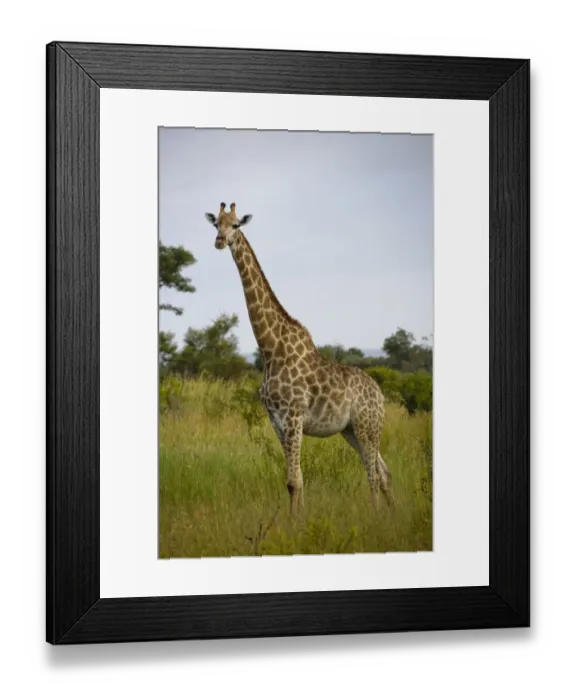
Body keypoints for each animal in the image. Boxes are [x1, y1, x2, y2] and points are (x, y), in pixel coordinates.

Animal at [205, 203, 395, 517]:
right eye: (215, 223)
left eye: (236, 225)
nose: (220, 241)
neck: (271, 349)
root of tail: (380, 394)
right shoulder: (277, 421)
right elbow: (297, 479)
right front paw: (299, 520)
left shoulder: (293, 416)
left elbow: (293, 480)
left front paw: (295, 524)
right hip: (352, 431)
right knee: (383, 471)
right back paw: (390, 516)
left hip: (367, 427)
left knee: (373, 474)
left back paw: (377, 518)